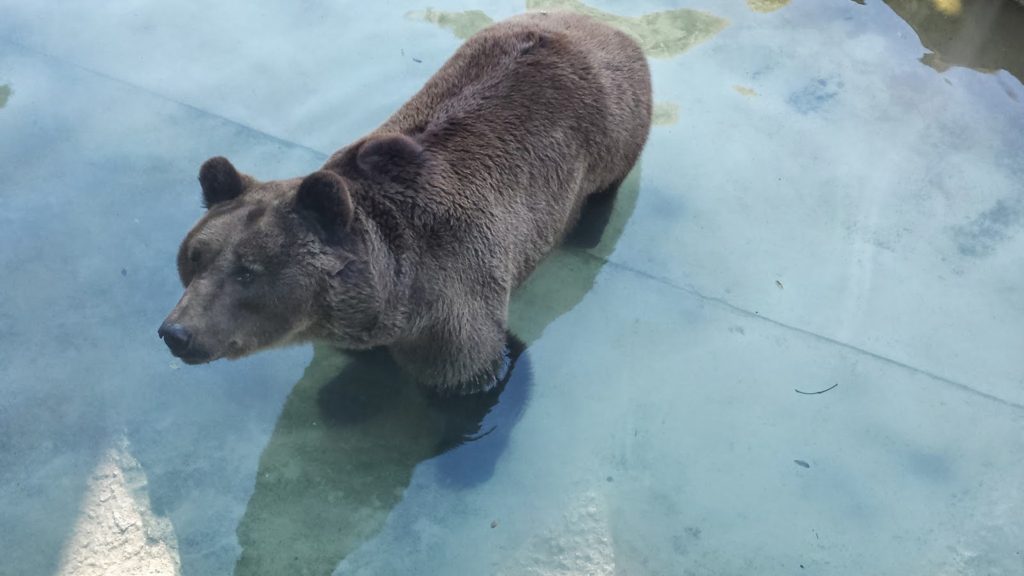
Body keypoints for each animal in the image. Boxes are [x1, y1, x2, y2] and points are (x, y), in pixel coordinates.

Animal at [159, 11, 652, 394]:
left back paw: (587, 230)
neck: (394, 295)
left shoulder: (454, 303)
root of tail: (603, 25)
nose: (176, 333)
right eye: (194, 258)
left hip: (613, 130)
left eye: (248, 271)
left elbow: (475, 375)